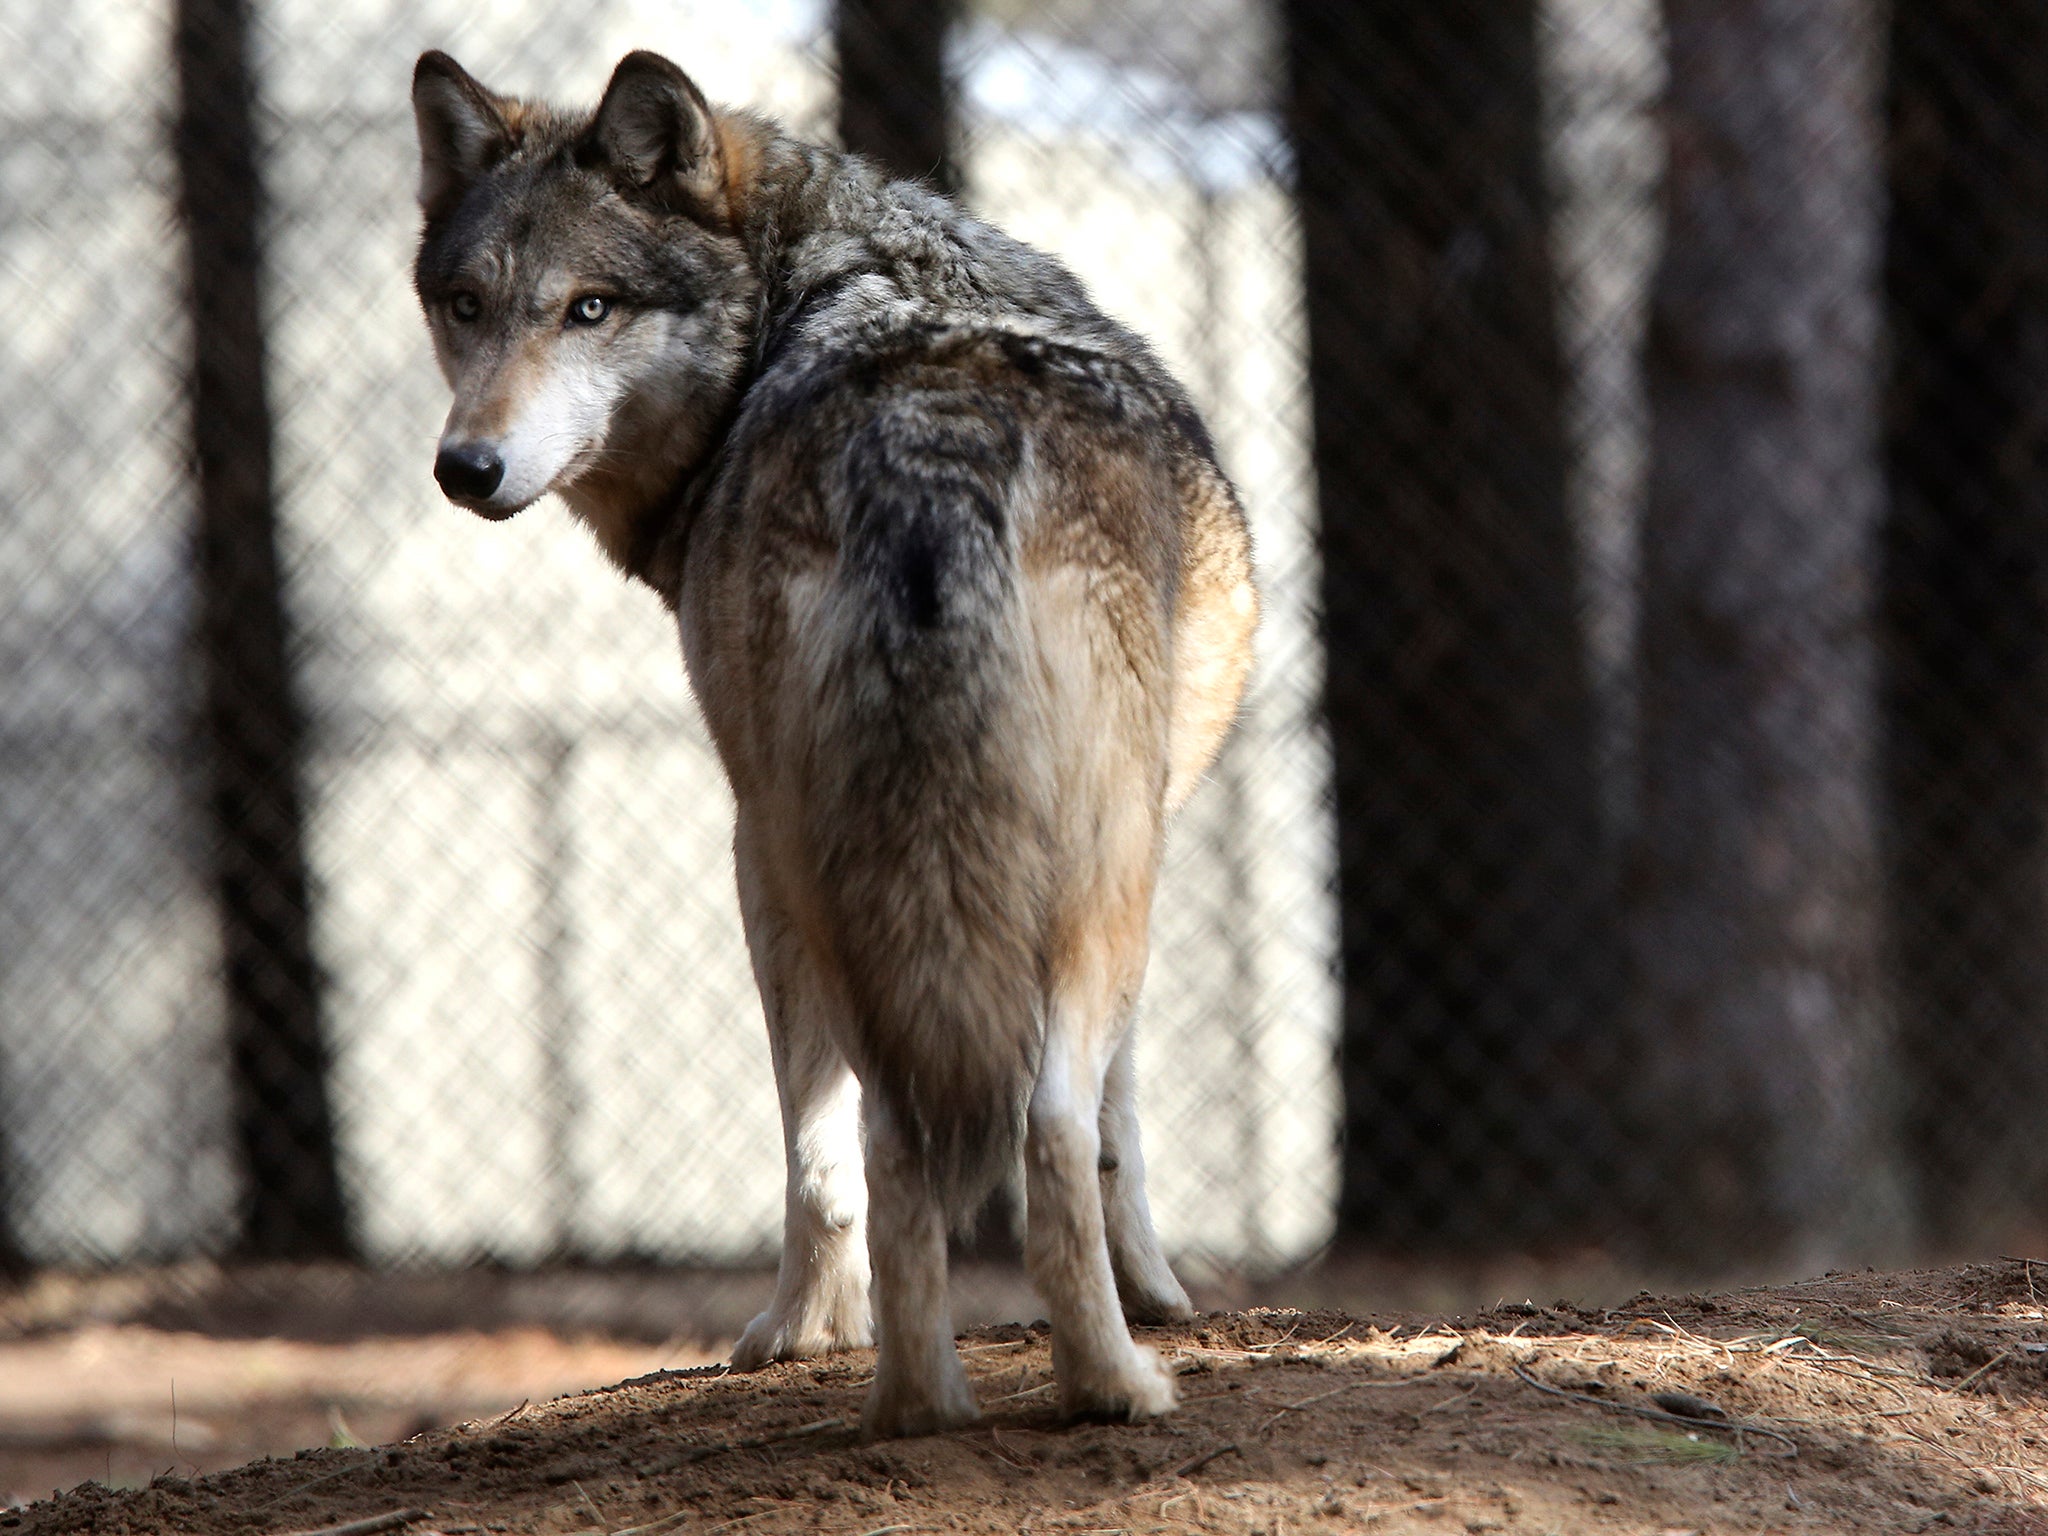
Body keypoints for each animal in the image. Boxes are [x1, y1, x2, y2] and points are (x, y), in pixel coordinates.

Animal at [407, 48, 1253, 1441]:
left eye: (588, 309)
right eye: (468, 306)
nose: (463, 467)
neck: (805, 293)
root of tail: (927, 445)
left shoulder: (763, 837)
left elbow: (824, 1143)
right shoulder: (1150, 847)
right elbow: (1119, 1124)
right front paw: (1161, 1296)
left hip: (830, 864)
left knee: (884, 1137)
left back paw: (911, 1398)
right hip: (1077, 872)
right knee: (1042, 1120)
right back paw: (1109, 1385)